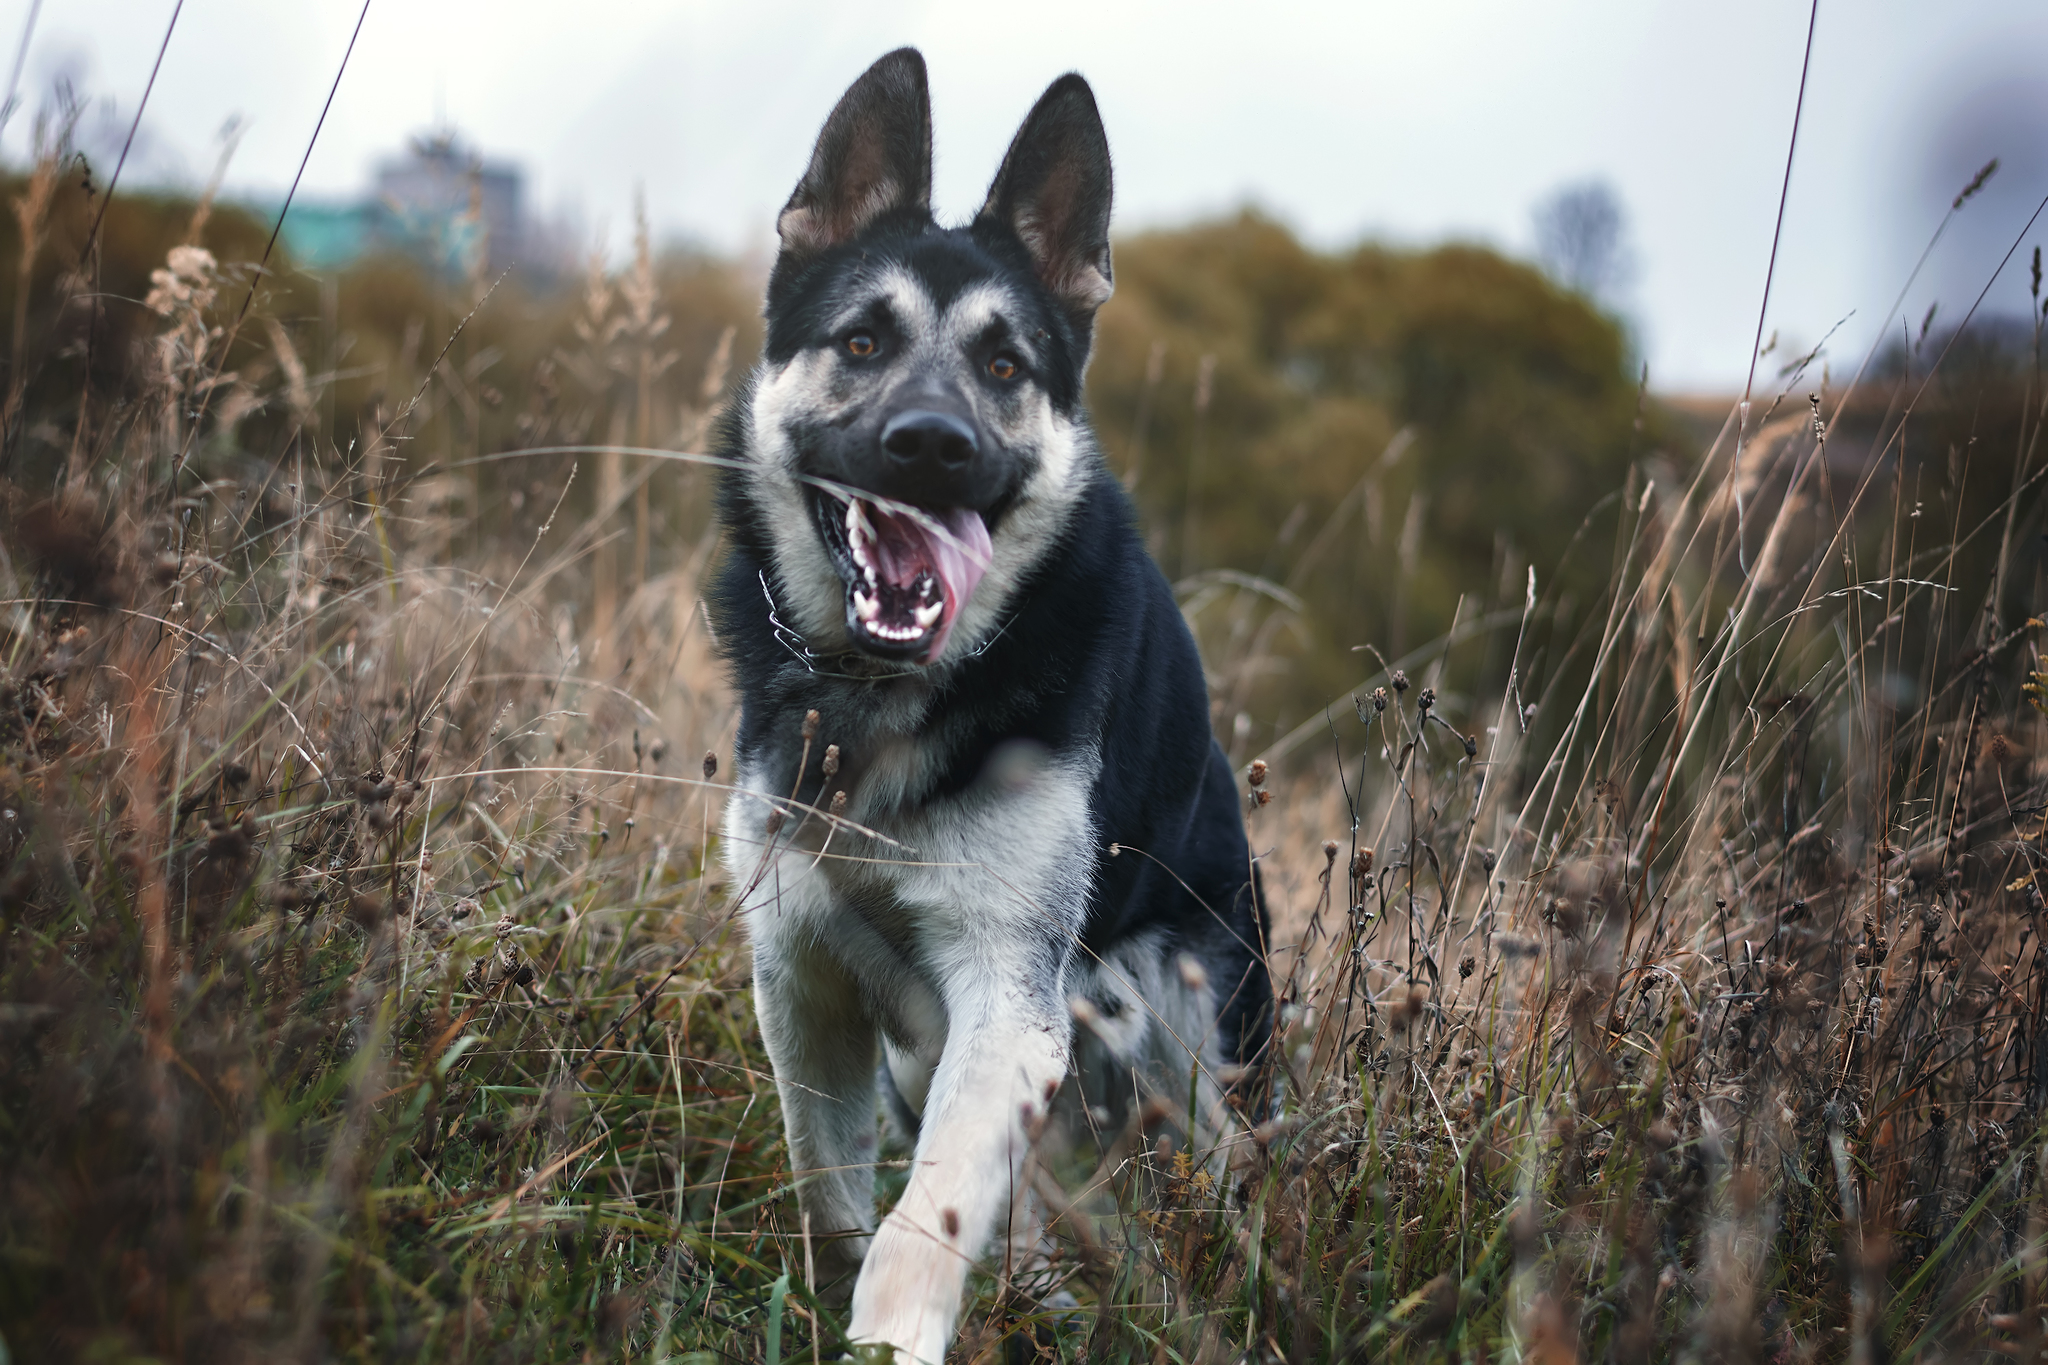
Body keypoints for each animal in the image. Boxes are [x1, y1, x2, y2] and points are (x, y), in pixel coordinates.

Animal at [712, 48, 1269, 1358]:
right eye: (861, 341)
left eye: (1005, 367)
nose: (932, 445)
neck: (887, 693)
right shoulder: (800, 976)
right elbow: (831, 1194)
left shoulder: (1007, 1010)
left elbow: (925, 1222)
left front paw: (890, 1338)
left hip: (1187, 1069)